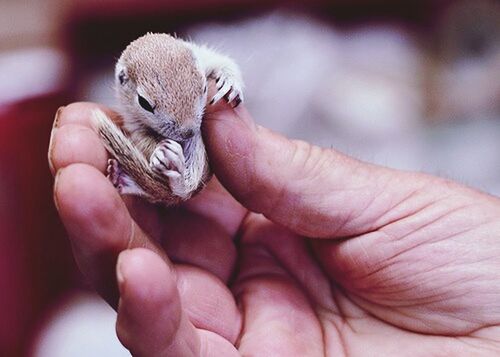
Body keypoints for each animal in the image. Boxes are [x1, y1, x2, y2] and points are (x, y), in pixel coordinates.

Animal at [94, 34, 245, 204]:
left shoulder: (205, 58)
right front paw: (159, 152)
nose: (189, 132)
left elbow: (224, 62)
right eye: (143, 103)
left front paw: (230, 84)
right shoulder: (133, 121)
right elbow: (143, 139)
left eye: (204, 87)